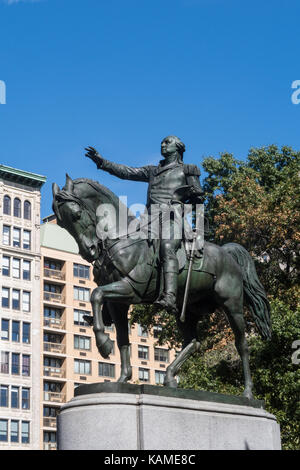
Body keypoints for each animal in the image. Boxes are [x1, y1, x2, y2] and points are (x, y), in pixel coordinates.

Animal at [52, 174, 272, 398]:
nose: (89, 251)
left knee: (242, 344)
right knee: (194, 342)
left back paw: (248, 393)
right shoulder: (118, 304)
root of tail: (228, 254)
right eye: (61, 223)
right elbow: (121, 337)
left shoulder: (130, 289)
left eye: (76, 214)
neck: (123, 240)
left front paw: (104, 345)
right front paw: (123, 378)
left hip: (232, 305)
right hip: (188, 309)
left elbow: (95, 294)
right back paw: (169, 377)